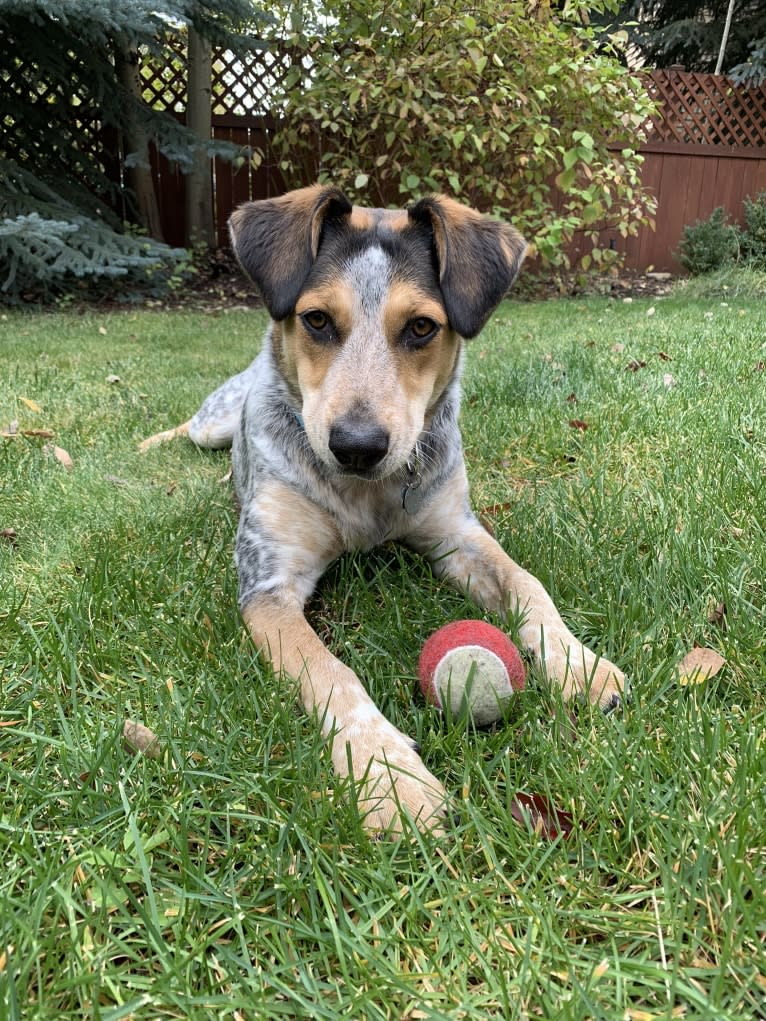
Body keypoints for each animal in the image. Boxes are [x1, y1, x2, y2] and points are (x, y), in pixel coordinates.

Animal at [140, 185, 625, 837]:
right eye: (317, 320)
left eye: (421, 327)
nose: (357, 445)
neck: (364, 497)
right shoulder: (267, 588)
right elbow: (330, 673)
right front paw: (390, 776)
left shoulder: (457, 535)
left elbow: (527, 582)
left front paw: (578, 663)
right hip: (214, 421)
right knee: (189, 429)